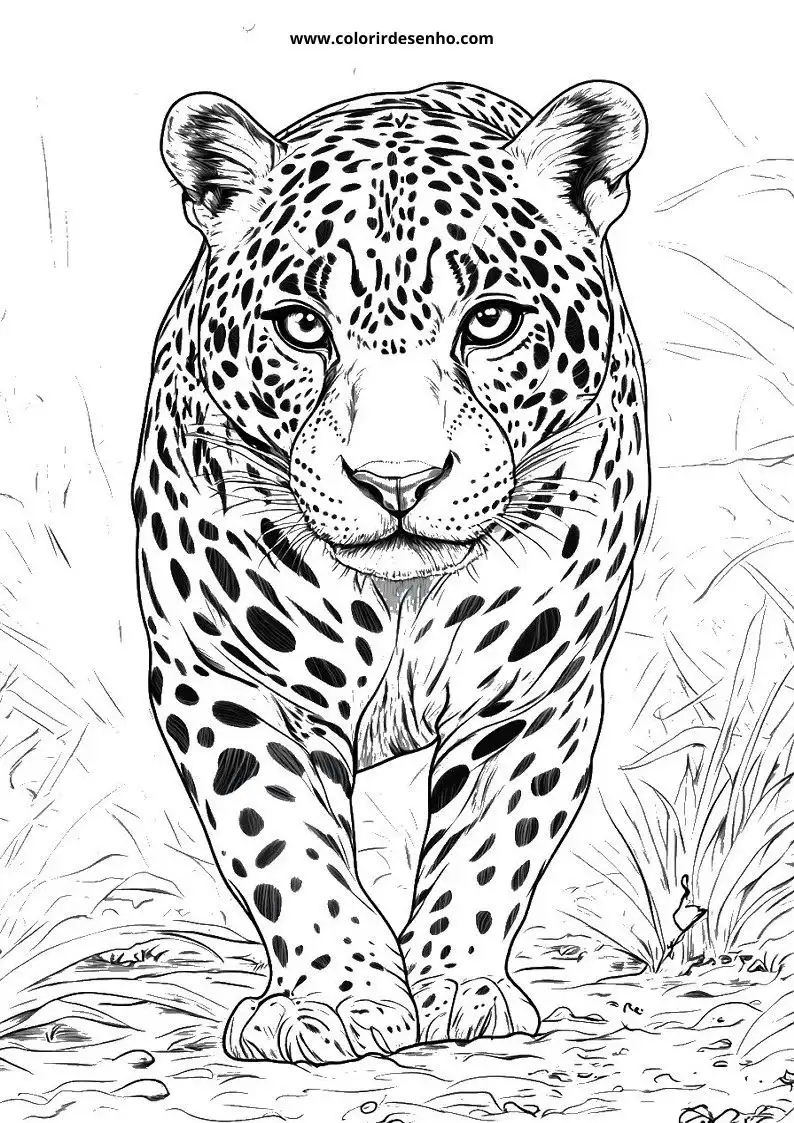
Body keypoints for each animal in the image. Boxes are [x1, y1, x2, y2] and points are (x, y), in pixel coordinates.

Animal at [132, 78, 649, 1065]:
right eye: (303, 325)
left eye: (490, 320)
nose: (397, 479)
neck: (402, 598)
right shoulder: (226, 679)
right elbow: (279, 833)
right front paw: (334, 997)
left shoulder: (533, 693)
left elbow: (491, 839)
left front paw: (460, 986)